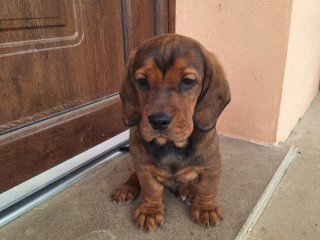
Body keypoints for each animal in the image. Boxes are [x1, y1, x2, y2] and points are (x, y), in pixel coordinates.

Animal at [112, 33, 230, 231]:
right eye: (141, 81)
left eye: (188, 81)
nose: (158, 121)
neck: (171, 145)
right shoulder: (143, 167)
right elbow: (151, 189)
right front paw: (150, 211)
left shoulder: (212, 166)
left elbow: (207, 187)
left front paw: (206, 208)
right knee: (134, 175)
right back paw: (127, 187)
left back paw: (189, 191)